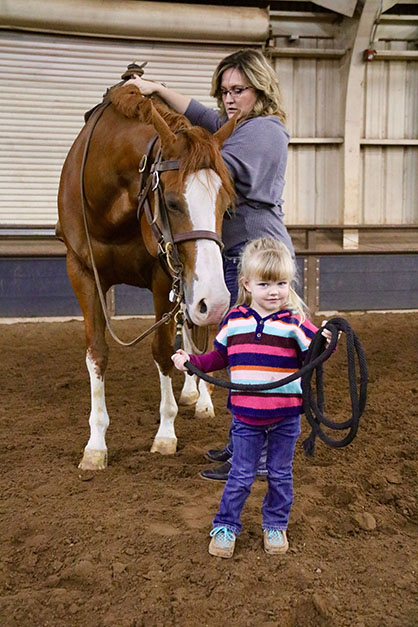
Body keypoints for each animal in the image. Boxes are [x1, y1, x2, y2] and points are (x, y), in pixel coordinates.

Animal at [57, 82, 235, 472]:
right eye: (171, 202)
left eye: (226, 202)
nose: (215, 301)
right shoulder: (81, 272)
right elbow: (97, 353)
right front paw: (95, 445)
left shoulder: (163, 276)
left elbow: (162, 350)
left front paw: (165, 433)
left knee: (198, 332)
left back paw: (201, 399)